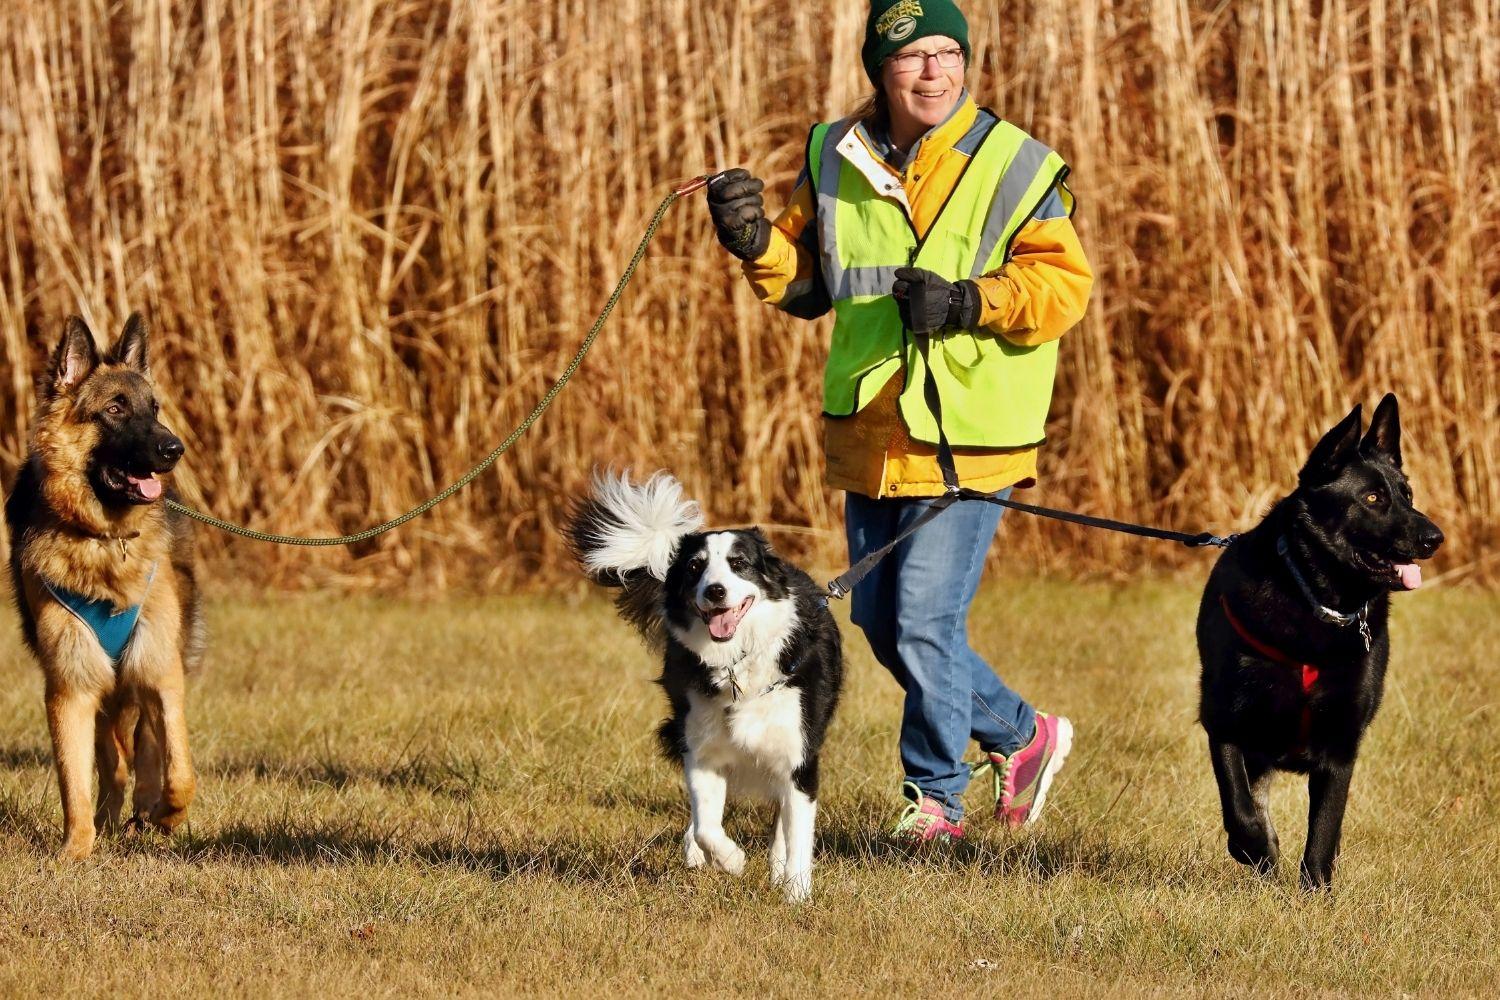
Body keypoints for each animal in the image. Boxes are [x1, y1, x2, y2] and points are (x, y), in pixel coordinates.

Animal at [2, 314, 202, 863]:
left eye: (154, 409)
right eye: (115, 409)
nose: (175, 449)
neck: (103, 540)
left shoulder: (160, 672)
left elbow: (180, 770)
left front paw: (167, 815)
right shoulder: (70, 686)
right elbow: (75, 782)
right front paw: (75, 851)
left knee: (147, 752)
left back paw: (146, 813)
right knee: (111, 762)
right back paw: (114, 820)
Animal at [1194, 395, 1440, 887]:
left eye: (1407, 495)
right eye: (1372, 498)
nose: (1435, 538)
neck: (1317, 602)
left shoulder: (1341, 747)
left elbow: (1325, 829)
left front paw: (1314, 892)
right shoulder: (1224, 723)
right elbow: (1241, 809)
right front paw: (1256, 850)